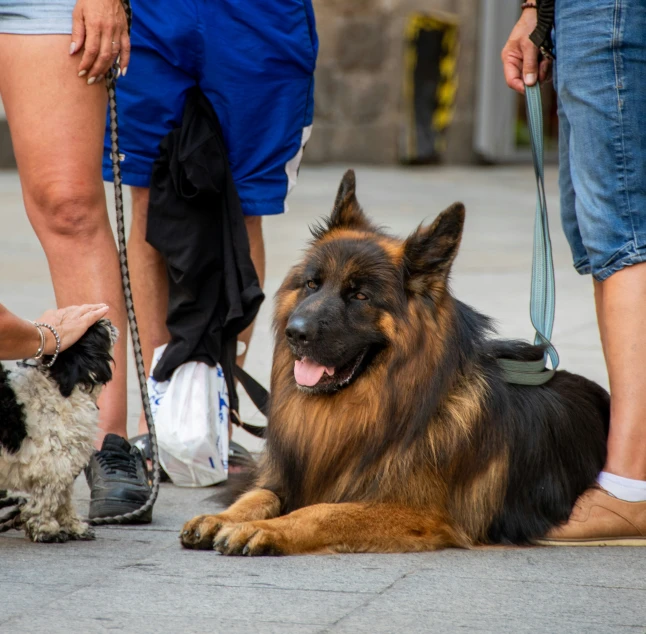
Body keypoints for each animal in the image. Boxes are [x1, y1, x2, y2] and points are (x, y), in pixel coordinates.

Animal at [0, 318, 117, 540]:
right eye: (94, 330)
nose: (106, 320)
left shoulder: (64, 465)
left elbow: (64, 498)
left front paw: (73, 525)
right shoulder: (53, 463)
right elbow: (47, 498)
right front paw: (45, 528)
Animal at [180, 169, 612, 552]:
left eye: (360, 296)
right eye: (312, 284)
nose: (295, 333)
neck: (383, 403)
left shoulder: (415, 512)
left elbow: (322, 511)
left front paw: (267, 529)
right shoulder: (287, 477)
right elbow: (258, 494)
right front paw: (225, 518)